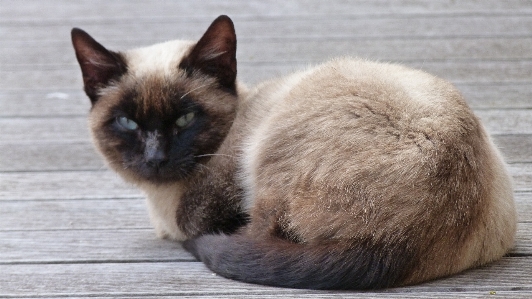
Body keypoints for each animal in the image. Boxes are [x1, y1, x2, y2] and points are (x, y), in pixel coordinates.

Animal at [70, 14, 516, 290]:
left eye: (185, 119)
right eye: (128, 123)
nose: (156, 159)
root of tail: (398, 242)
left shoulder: (204, 209)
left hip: (270, 150)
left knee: (258, 236)